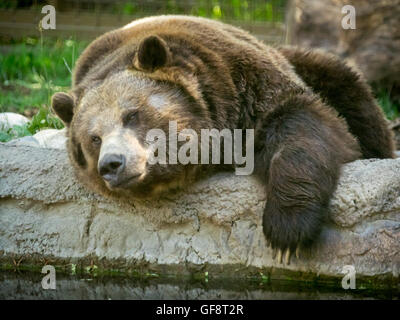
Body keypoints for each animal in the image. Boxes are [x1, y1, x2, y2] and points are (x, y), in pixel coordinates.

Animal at [50, 15, 394, 264]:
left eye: (131, 115)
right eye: (94, 138)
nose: (112, 164)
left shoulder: (245, 85)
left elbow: (303, 123)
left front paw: (287, 230)